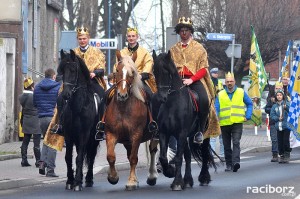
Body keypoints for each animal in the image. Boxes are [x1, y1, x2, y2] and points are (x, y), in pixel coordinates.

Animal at [58, 49, 103, 191]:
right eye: (62, 70)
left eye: (73, 70)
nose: (65, 95)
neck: (77, 107)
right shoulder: (69, 134)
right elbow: (69, 157)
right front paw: (70, 180)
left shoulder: (84, 134)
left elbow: (80, 157)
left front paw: (77, 182)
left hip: (93, 138)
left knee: (91, 155)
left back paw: (88, 179)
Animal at [104, 50, 158, 190]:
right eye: (117, 70)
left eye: (132, 72)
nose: (122, 95)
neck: (123, 108)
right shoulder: (111, 134)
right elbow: (111, 156)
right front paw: (113, 177)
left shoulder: (136, 135)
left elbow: (134, 158)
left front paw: (132, 181)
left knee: (152, 151)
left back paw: (152, 176)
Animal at [154, 50, 214, 190]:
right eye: (154, 72)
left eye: (166, 72)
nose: (161, 98)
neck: (172, 104)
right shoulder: (165, 133)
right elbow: (164, 157)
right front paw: (169, 172)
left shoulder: (181, 133)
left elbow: (178, 158)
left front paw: (176, 182)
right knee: (187, 155)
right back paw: (187, 180)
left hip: (204, 134)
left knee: (204, 152)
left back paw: (204, 178)